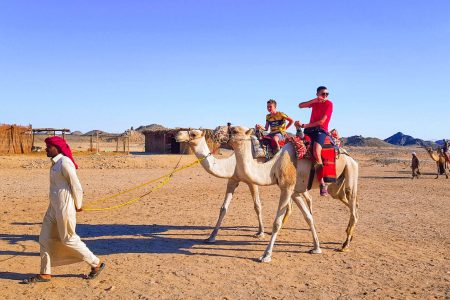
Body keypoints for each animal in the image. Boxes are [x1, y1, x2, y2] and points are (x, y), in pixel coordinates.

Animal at [229, 125, 358, 262]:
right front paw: (316, 248)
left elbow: (277, 223)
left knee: (352, 204)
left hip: (351, 170)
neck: (273, 167)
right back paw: (349, 235)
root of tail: (350, 157)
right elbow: (308, 217)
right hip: (336, 185)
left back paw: (345, 244)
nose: (224, 134)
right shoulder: (294, 192)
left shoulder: (287, 189)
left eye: (234, 131)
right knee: (349, 201)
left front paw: (266, 255)